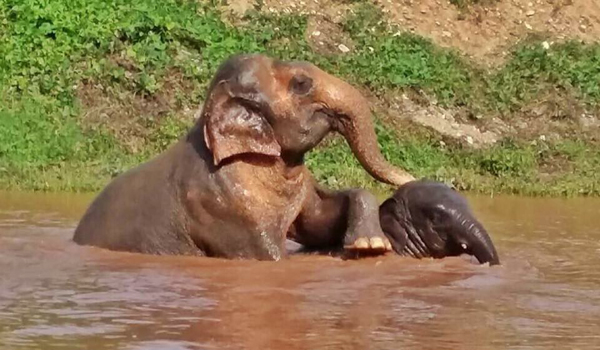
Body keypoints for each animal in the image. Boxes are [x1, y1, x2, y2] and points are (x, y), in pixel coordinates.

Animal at [72, 52, 414, 260]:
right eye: (302, 84)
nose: (411, 178)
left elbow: (318, 222)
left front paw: (370, 246)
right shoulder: (224, 207)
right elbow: (267, 254)